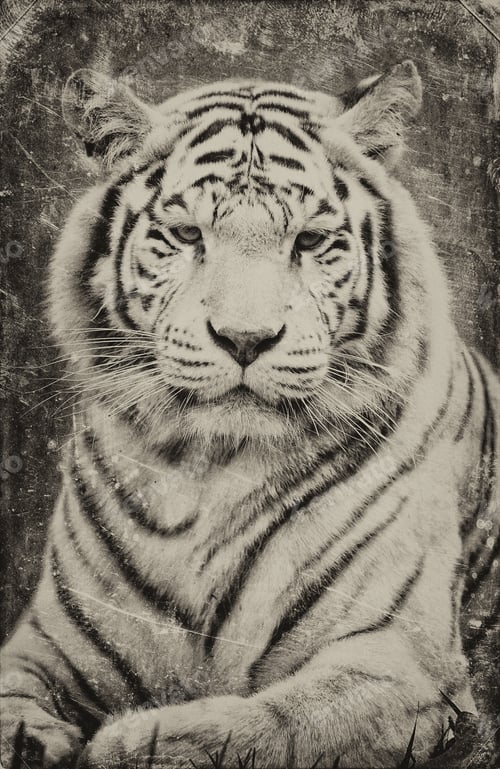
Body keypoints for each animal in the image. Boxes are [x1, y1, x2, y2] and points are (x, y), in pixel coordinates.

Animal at [0, 59, 498, 769]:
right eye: (187, 235)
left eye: (310, 241)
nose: (244, 339)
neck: (208, 472)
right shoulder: (45, 643)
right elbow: (12, 699)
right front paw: (32, 741)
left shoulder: (401, 658)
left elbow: (274, 724)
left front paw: (135, 740)